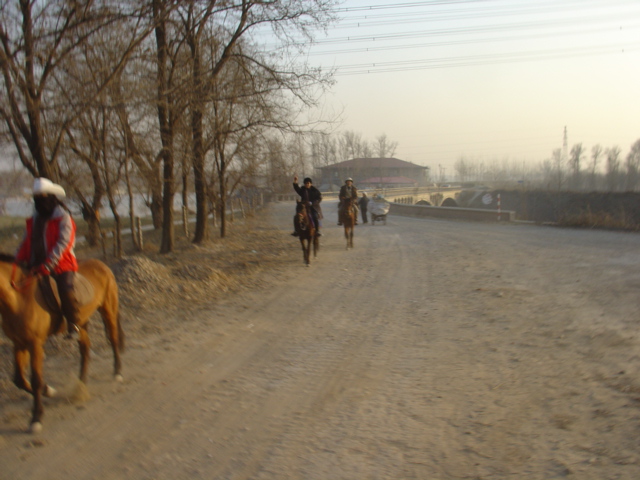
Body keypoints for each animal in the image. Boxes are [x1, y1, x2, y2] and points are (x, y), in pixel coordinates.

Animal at [0, 253, 124, 434]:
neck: (19, 298)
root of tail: (102, 265)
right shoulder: (19, 343)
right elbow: (19, 379)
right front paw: (48, 391)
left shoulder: (35, 344)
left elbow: (35, 380)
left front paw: (36, 418)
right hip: (82, 322)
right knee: (85, 348)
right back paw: (81, 382)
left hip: (108, 309)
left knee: (113, 339)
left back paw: (117, 372)